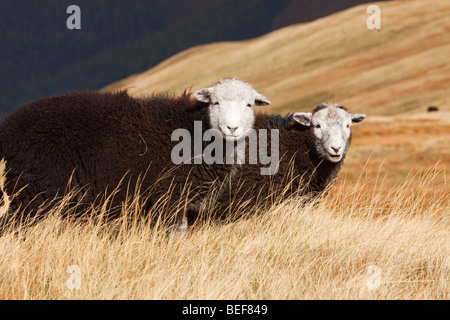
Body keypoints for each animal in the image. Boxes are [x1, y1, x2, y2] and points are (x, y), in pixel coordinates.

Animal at [0, 78, 270, 228]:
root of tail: (7, 128)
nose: (232, 128)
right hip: (35, 193)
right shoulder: (166, 199)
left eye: (249, 104)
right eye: (215, 103)